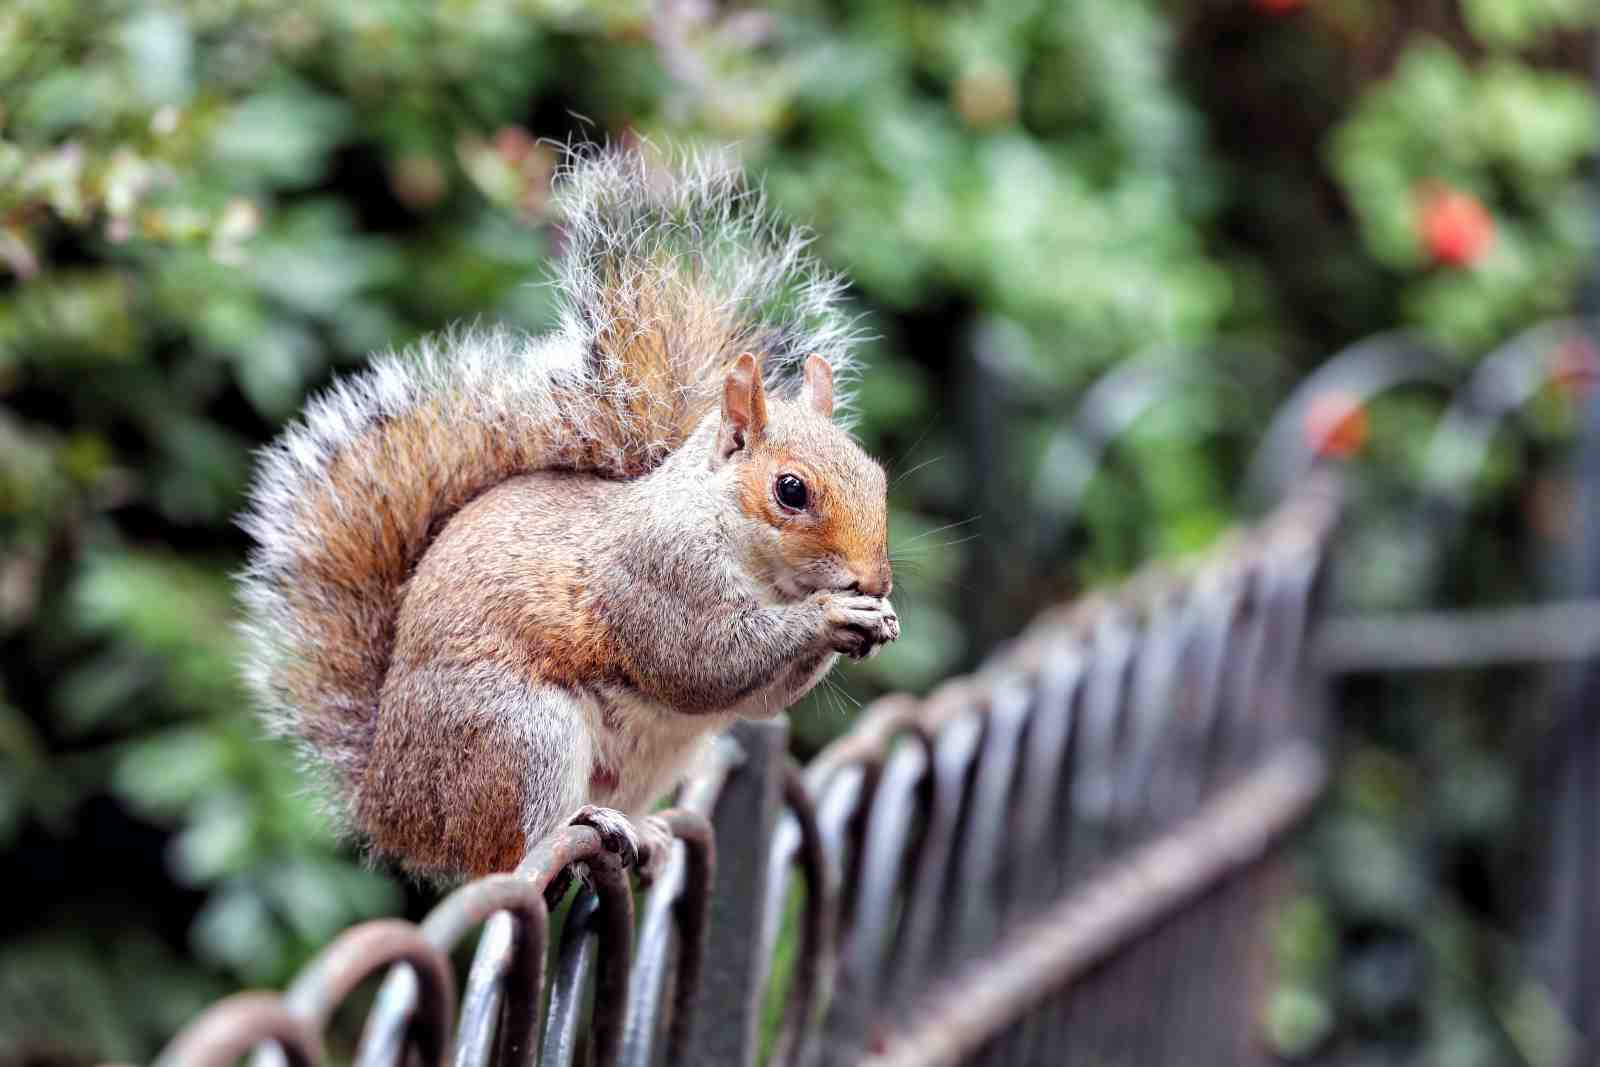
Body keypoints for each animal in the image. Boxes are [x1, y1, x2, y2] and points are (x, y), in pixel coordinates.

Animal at [239, 146, 898, 881]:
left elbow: (755, 699)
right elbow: (700, 663)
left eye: (876, 474)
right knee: (514, 853)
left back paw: (650, 832)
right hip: (520, 734)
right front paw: (833, 615)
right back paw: (585, 824)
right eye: (790, 490)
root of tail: (392, 806)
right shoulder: (655, 575)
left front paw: (874, 619)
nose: (874, 580)